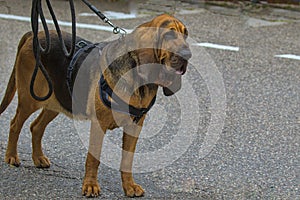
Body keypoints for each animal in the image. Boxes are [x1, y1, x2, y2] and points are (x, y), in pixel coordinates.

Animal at [0, 14, 191, 197]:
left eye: (185, 34)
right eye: (169, 34)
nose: (188, 54)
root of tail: (35, 34)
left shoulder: (134, 127)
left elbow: (127, 160)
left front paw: (129, 186)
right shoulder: (99, 125)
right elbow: (94, 158)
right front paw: (90, 186)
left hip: (57, 101)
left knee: (36, 127)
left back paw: (38, 158)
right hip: (30, 98)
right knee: (15, 124)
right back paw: (11, 156)